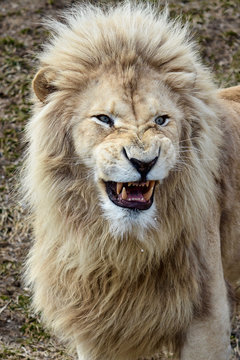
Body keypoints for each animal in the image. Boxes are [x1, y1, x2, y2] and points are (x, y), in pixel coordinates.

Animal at [22, 2, 240, 360]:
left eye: (161, 120)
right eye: (104, 119)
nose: (143, 162)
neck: (122, 248)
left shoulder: (207, 322)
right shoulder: (97, 329)